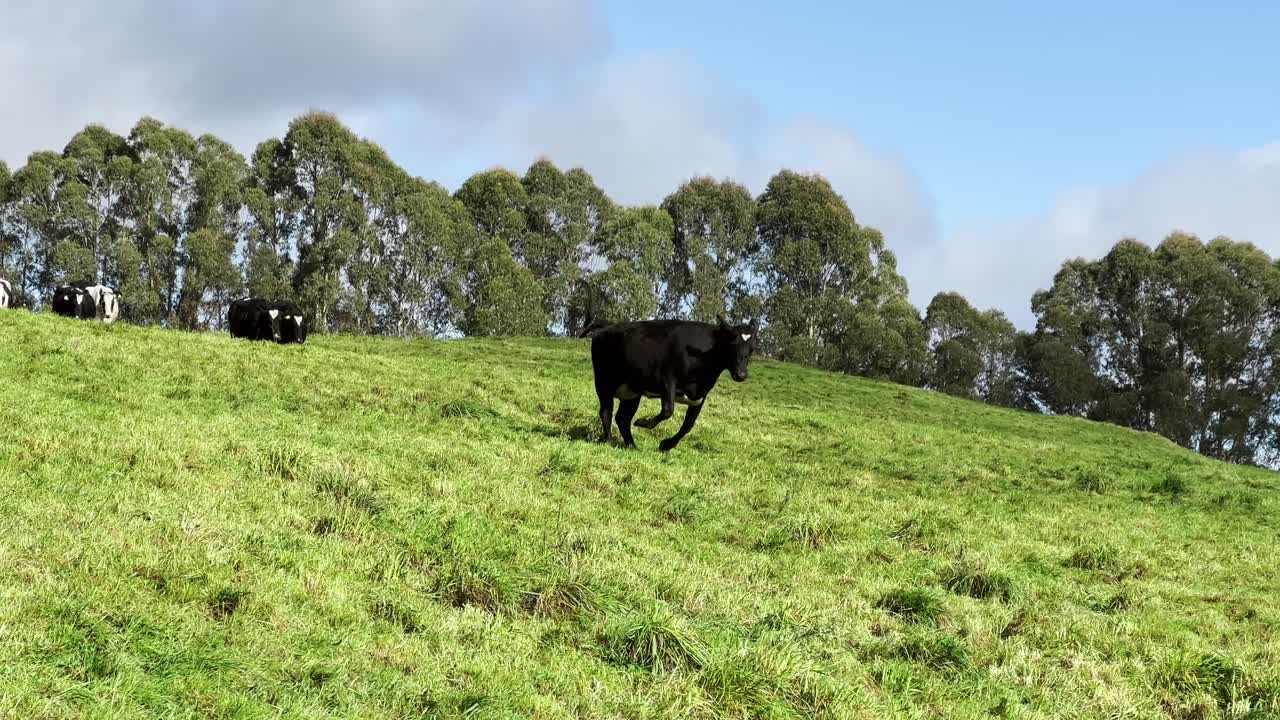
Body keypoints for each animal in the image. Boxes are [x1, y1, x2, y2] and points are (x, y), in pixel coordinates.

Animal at [580, 315, 759, 452]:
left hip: (632, 392)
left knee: (623, 418)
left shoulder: (700, 395)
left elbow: (688, 424)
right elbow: (668, 411)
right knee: (606, 412)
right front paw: (643, 423)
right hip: (604, 383)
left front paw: (667, 444)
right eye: (732, 345)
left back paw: (632, 446)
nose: (741, 375)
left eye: (752, 349)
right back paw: (610, 441)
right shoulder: (667, 380)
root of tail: (609, 325)